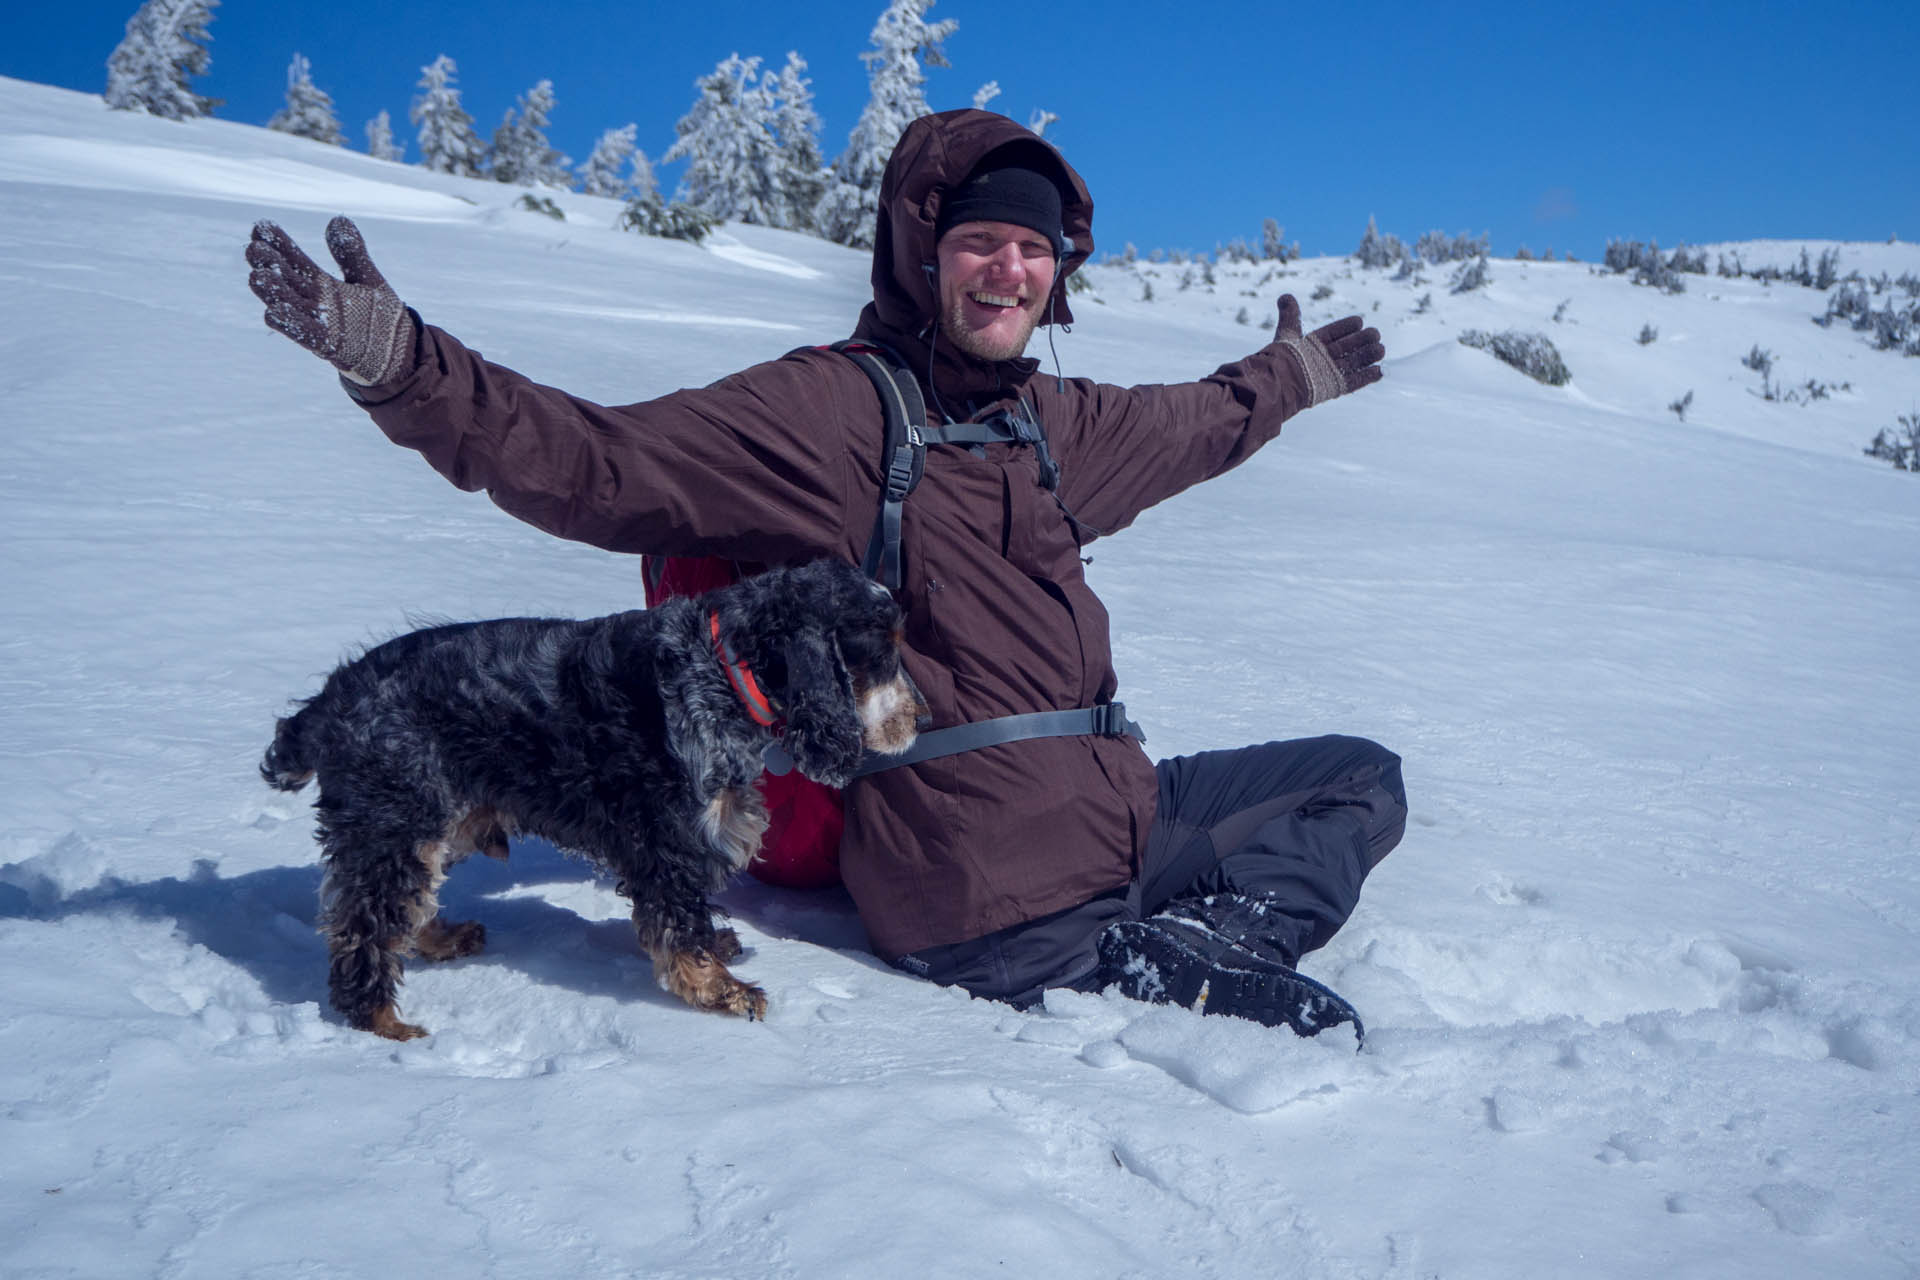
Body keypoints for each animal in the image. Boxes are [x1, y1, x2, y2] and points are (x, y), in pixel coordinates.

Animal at [263, 560, 921, 1043]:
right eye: (884, 650)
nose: (924, 718)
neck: (724, 668)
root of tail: (329, 702)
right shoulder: (667, 841)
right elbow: (681, 927)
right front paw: (724, 992)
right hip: (394, 819)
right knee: (365, 927)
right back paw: (382, 1024)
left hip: (441, 818)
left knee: (406, 904)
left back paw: (443, 941)